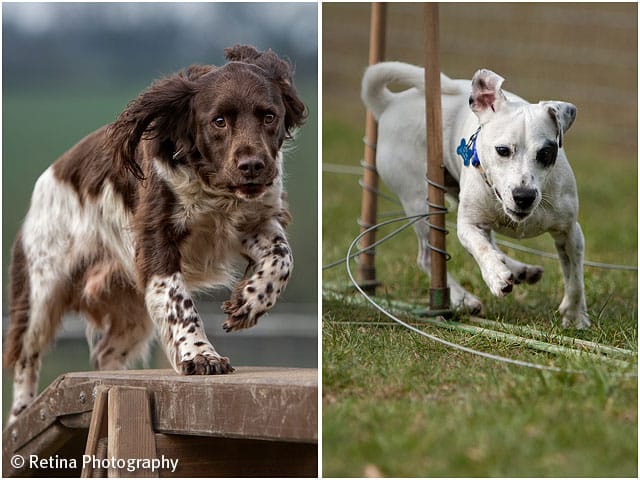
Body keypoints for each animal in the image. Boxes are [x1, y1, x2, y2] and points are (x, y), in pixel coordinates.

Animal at [362, 62, 588, 328]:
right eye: (502, 150)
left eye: (546, 153)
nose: (524, 196)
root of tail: (391, 103)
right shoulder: (468, 225)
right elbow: (480, 248)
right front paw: (496, 275)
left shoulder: (569, 232)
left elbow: (575, 279)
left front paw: (575, 315)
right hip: (419, 200)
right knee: (428, 257)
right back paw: (466, 300)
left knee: (490, 242)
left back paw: (518, 269)